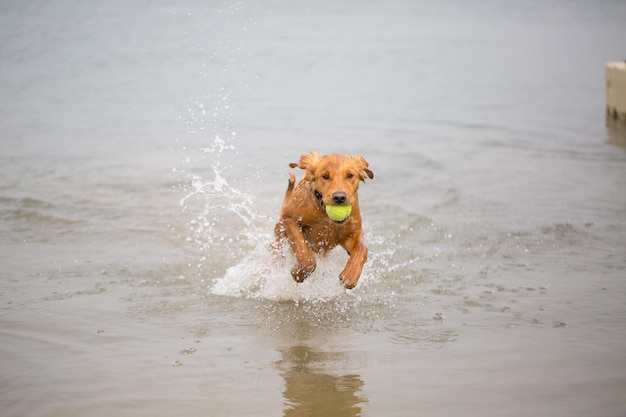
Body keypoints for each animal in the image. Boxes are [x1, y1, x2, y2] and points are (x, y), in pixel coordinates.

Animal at [272, 151, 370, 288]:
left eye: (350, 175)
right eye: (325, 176)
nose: (339, 197)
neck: (324, 213)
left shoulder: (351, 234)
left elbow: (362, 248)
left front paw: (350, 275)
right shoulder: (290, 221)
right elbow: (306, 257)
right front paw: (297, 273)